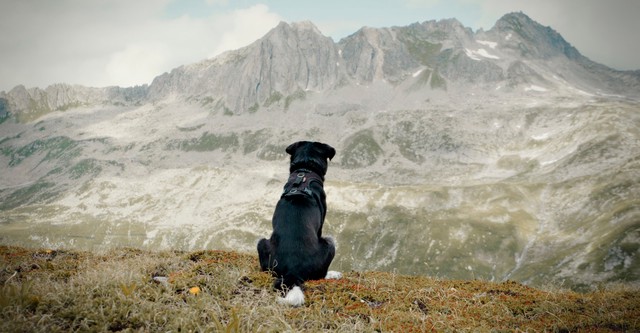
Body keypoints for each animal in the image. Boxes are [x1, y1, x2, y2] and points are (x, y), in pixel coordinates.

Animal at [258, 141, 342, 304]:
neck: (305, 170)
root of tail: (293, 270)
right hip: (330, 243)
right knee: (321, 274)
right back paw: (332, 274)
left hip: (262, 244)